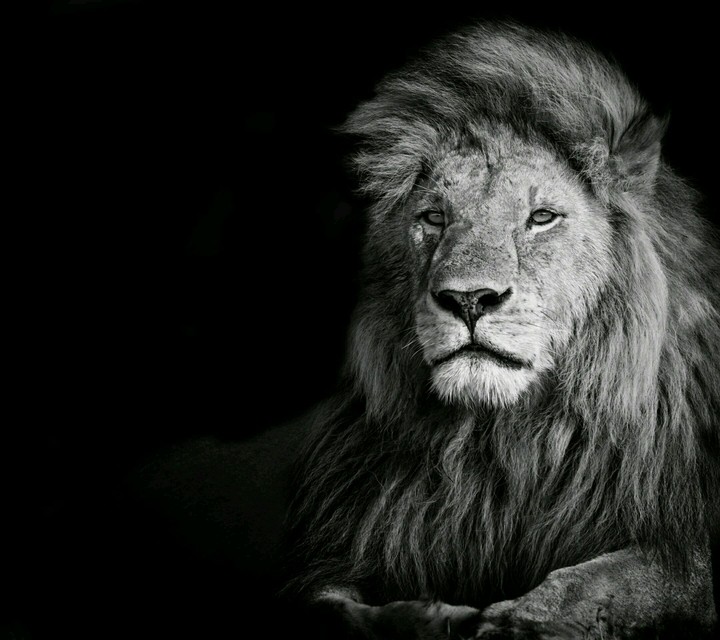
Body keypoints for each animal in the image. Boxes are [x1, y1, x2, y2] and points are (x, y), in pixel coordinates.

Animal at [278, 20, 720, 639]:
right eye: (434, 217)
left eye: (541, 218)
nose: (468, 299)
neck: (504, 444)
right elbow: (329, 608)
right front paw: (428, 618)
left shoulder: (683, 548)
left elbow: (613, 578)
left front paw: (516, 621)